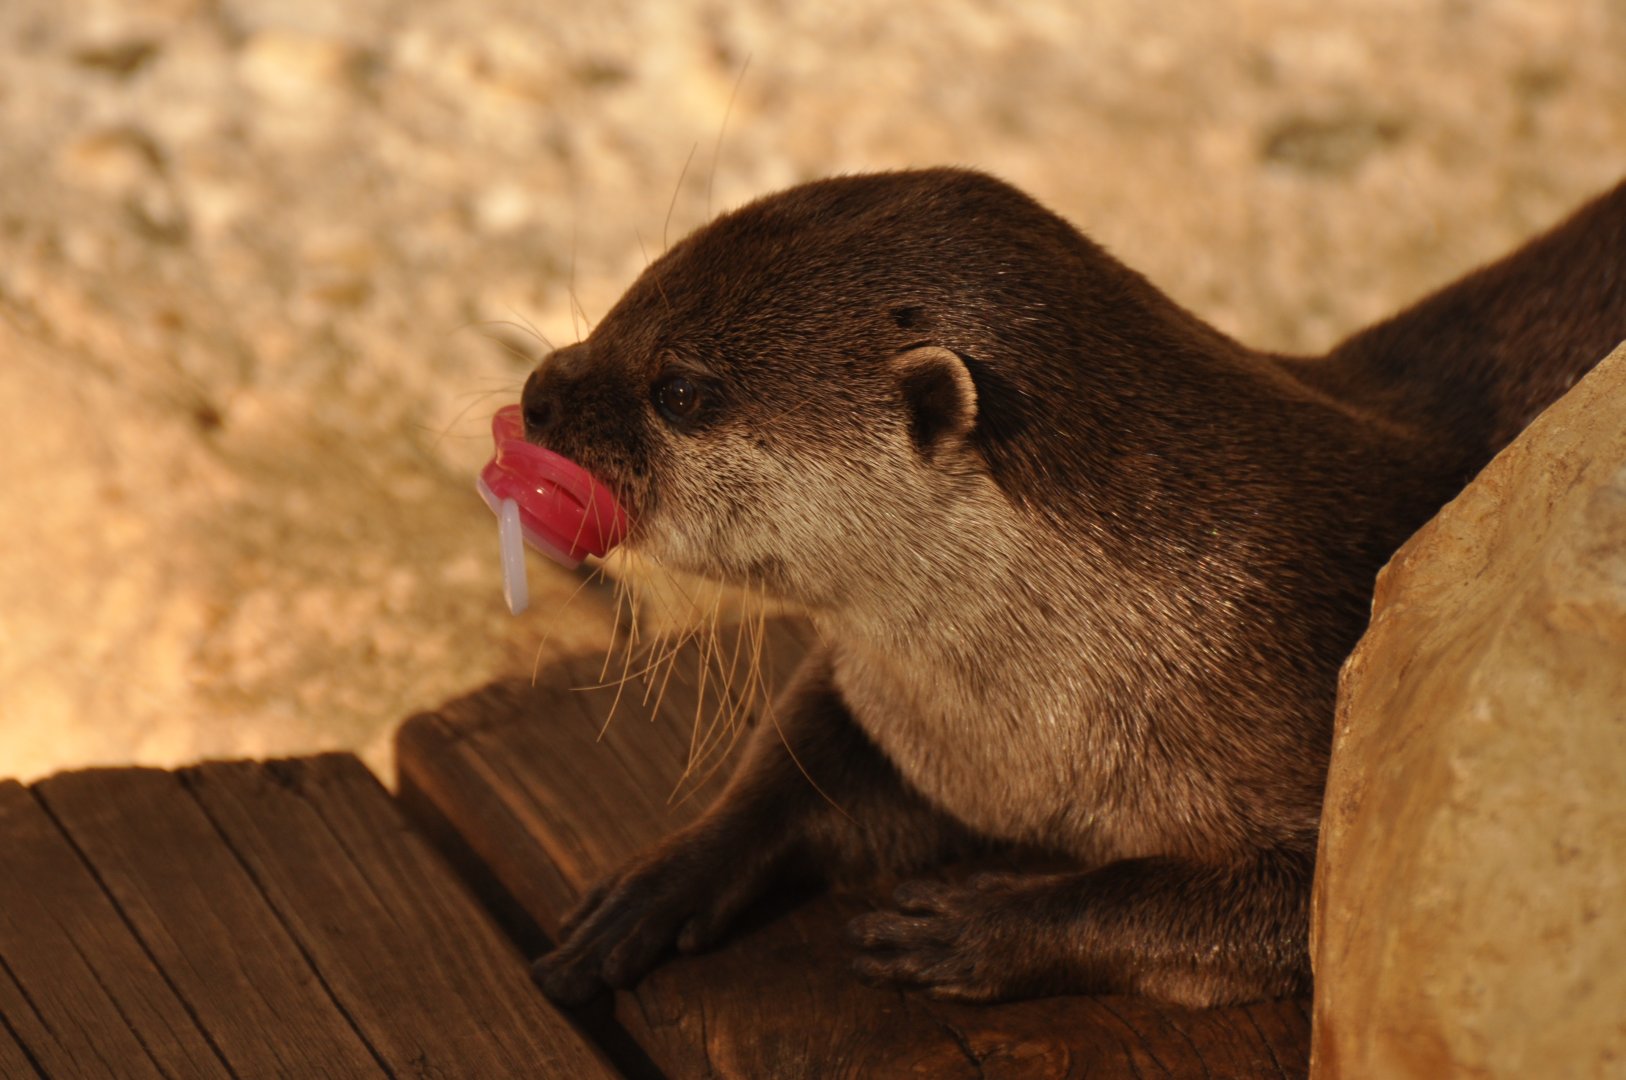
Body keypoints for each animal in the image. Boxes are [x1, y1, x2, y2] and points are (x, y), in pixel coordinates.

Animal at [518, 169, 1626, 1007]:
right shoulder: (895, 708)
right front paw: (655, 881)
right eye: (633, 296)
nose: (537, 396)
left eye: (681, 393)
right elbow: (796, 769)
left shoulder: (1322, 748)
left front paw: (977, 923)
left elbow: (1228, 905)